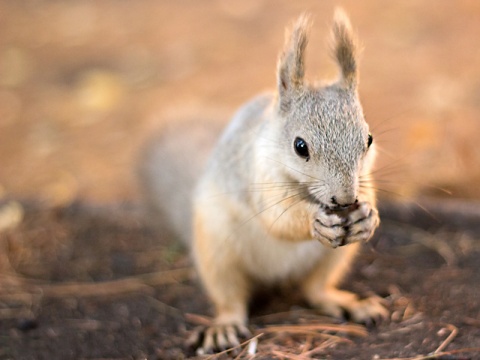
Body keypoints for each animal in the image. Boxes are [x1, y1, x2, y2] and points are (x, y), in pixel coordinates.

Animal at [138, 8, 386, 354]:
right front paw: (313, 220)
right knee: (230, 298)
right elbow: (277, 218)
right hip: (216, 250)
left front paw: (368, 217)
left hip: (335, 257)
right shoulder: (257, 174)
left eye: (369, 139)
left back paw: (346, 303)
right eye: (300, 146)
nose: (345, 199)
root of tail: (276, 276)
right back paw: (224, 327)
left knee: (314, 289)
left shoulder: (365, 177)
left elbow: (370, 194)